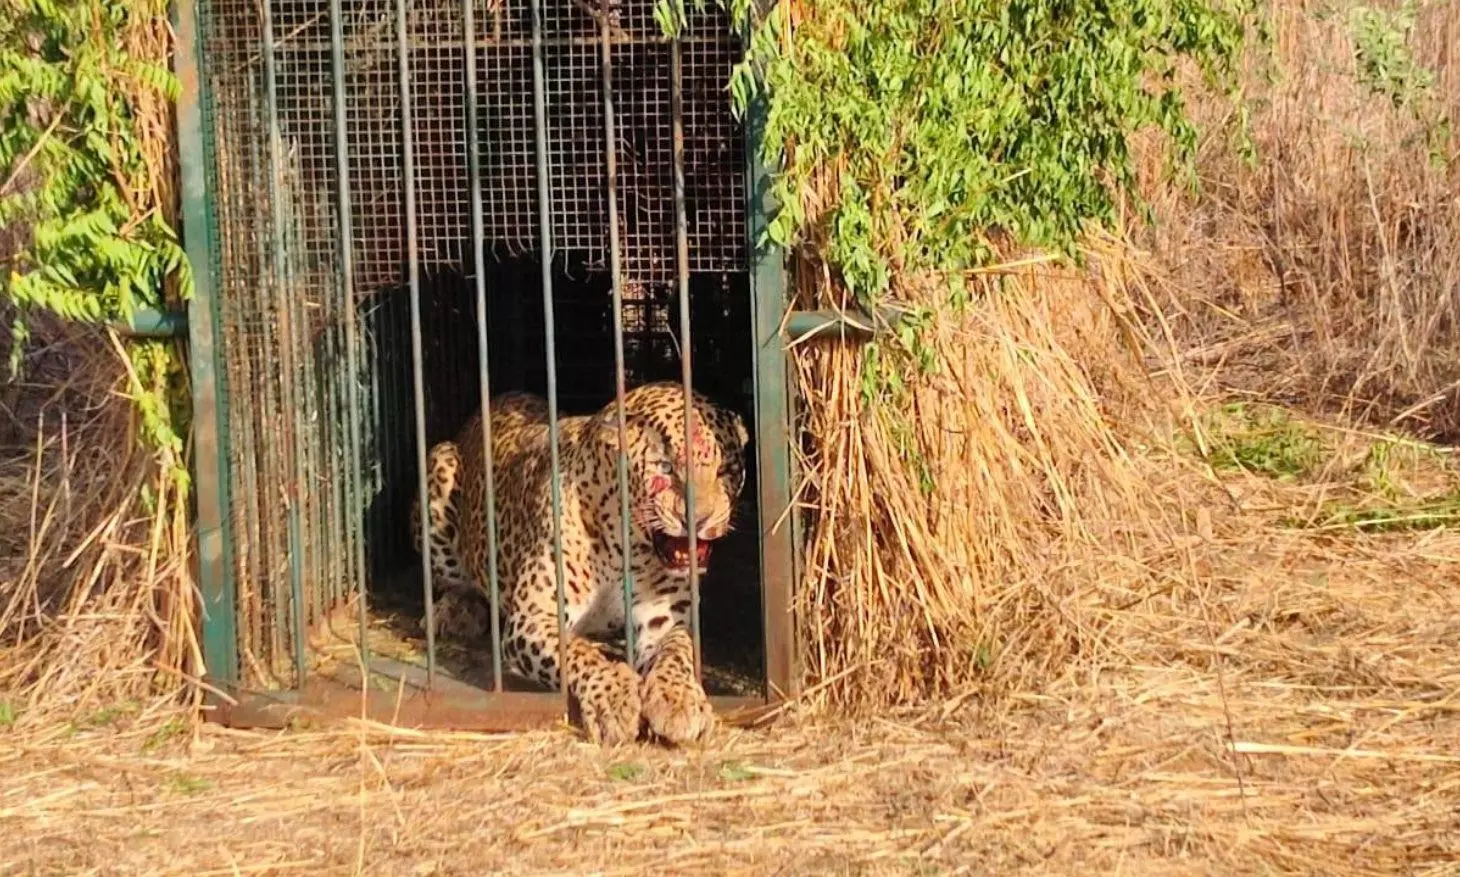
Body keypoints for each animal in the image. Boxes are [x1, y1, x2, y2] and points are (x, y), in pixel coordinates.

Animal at [407, 382, 750, 745]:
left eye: (725, 470)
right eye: (664, 467)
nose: (698, 520)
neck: (625, 547)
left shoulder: (664, 622)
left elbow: (677, 651)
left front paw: (679, 699)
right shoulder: (534, 616)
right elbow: (577, 653)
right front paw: (614, 700)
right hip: (439, 462)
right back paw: (455, 612)